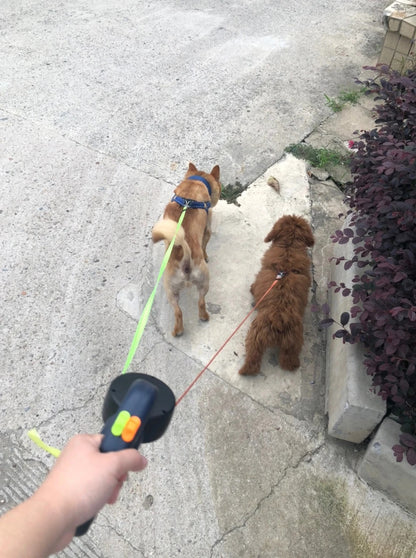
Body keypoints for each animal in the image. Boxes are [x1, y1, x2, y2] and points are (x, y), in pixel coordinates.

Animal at [150, 162, 221, 336]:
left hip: (171, 290)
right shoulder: (207, 229)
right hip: (204, 281)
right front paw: (206, 255)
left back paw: (178, 330)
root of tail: (185, 260)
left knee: (178, 311)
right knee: (201, 302)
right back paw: (204, 317)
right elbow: (205, 245)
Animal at [239, 214, 314, 376]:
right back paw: (294, 365)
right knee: (289, 360)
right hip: (292, 343)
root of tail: (279, 319)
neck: (289, 247)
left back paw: (245, 370)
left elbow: (254, 287)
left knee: (253, 357)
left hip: (256, 336)